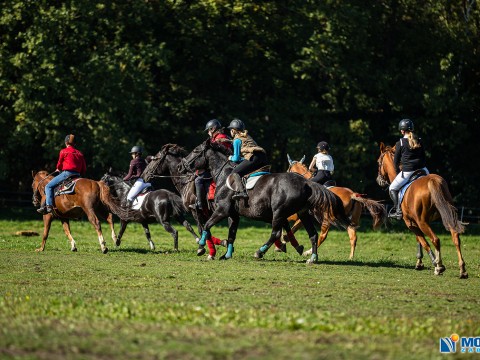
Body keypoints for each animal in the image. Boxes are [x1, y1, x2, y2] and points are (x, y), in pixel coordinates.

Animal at [179, 139, 352, 262]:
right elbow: (231, 234)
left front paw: (201, 247)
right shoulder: (233, 215)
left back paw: (259, 252)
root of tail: (306, 182)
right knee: (313, 234)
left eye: (196, 151)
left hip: (279, 212)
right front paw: (226, 255)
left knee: (276, 233)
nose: (181, 166)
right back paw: (312, 258)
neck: (223, 176)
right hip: (302, 213)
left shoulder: (222, 210)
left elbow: (206, 226)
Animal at [376, 143, 466, 278]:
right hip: (447, 215)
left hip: (423, 222)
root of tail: (433, 181)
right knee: (455, 237)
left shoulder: (411, 223)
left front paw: (432, 263)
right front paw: (420, 263)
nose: (379, 180)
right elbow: (419, 240)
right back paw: (462, 270)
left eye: (378, 162)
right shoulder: (414, 222)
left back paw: (439, 266)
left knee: (435, 239)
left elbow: (422, 241)